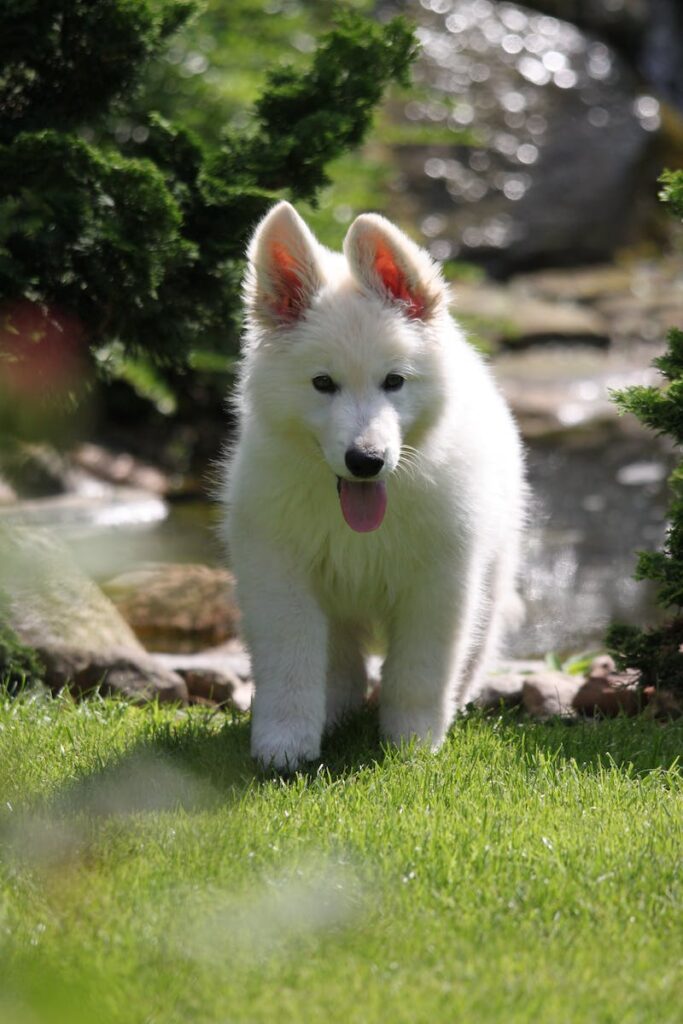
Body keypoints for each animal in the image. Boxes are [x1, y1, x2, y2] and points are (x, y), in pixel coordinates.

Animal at [222, 199, 528, 770]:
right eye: (323, 384)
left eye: (394, 381)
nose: (365, 461)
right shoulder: (279, 575)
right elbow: (291, 664)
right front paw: (285, 746)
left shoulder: (440, 583)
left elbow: (419, 672)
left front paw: (412, 746)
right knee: (340, 663)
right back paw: (336, 714)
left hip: (493, 572)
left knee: (473, 650)